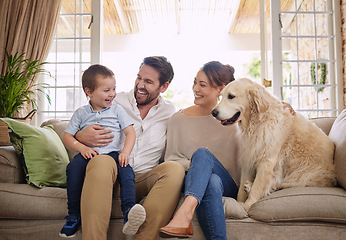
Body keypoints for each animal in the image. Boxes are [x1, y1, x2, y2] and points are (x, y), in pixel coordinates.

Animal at [212, 78, 336, 211]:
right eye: (221, 96)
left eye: (231, 96)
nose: (213, 112)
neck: (258, 122)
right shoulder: (249, 158)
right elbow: (241, 190)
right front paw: (239, 203)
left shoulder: (267, 160)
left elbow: (258, 187)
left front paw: (247, 206)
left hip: (301, 175)